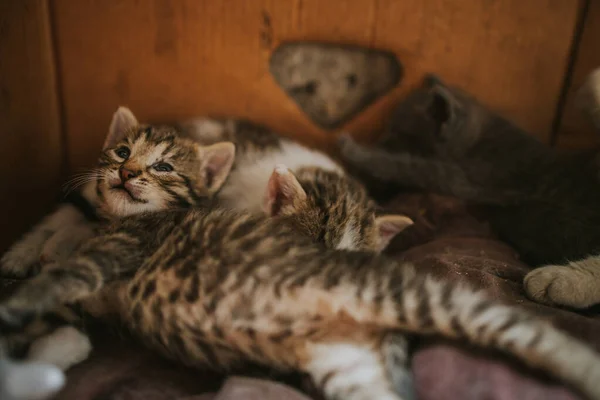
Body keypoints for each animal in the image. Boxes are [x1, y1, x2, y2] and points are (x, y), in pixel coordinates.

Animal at [338, 72, 600, 310]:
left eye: (393, 137)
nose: (377, 141)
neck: (485, 138)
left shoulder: (472, 177)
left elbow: (408, 166)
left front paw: (353, 149)